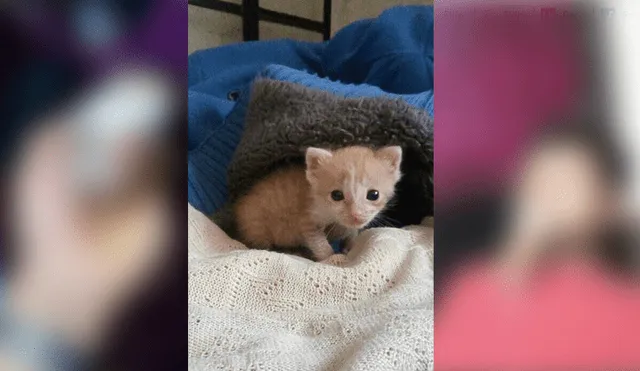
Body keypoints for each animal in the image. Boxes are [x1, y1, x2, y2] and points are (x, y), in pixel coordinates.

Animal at [232, 146, 402, 262]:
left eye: (373, 195)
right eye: (336, 195)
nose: (356, 214)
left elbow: (352, 232)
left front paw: (350, 246)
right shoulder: (307, 219)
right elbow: (318, 242)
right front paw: (331, 258)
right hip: (256, 226)